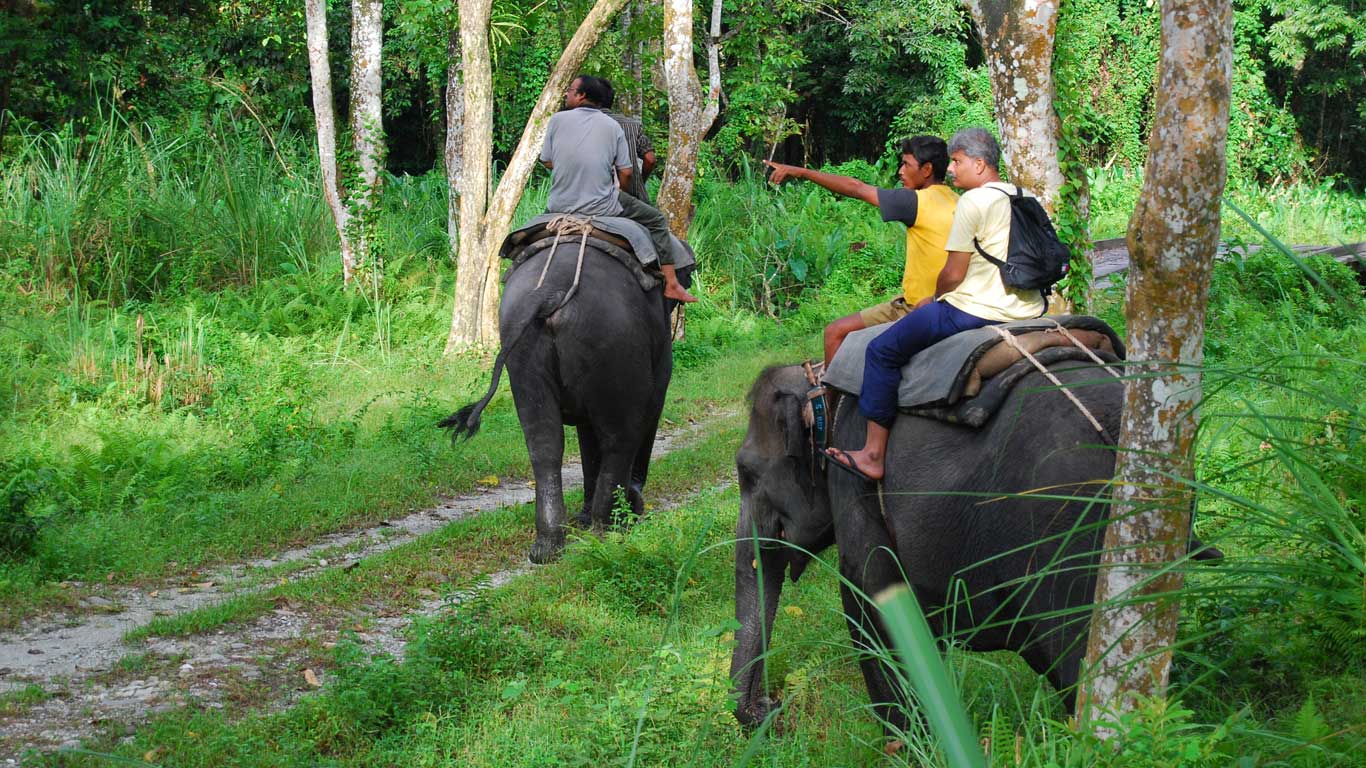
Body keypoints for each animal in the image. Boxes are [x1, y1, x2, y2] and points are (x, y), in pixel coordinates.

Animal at [442, 235, 672, 563]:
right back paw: (608, 531)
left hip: (524, 349)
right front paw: (628, 511)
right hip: (613, 340)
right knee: (620, 437)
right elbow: (649, 408)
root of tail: (551, 291)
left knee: (544, 444)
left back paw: (549, 545)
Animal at [732, 358, 1125, 727]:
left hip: (1068, 531)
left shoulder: (852, 479)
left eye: (746, 472)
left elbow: (871, 607)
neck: (820, 385)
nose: (771, 705)